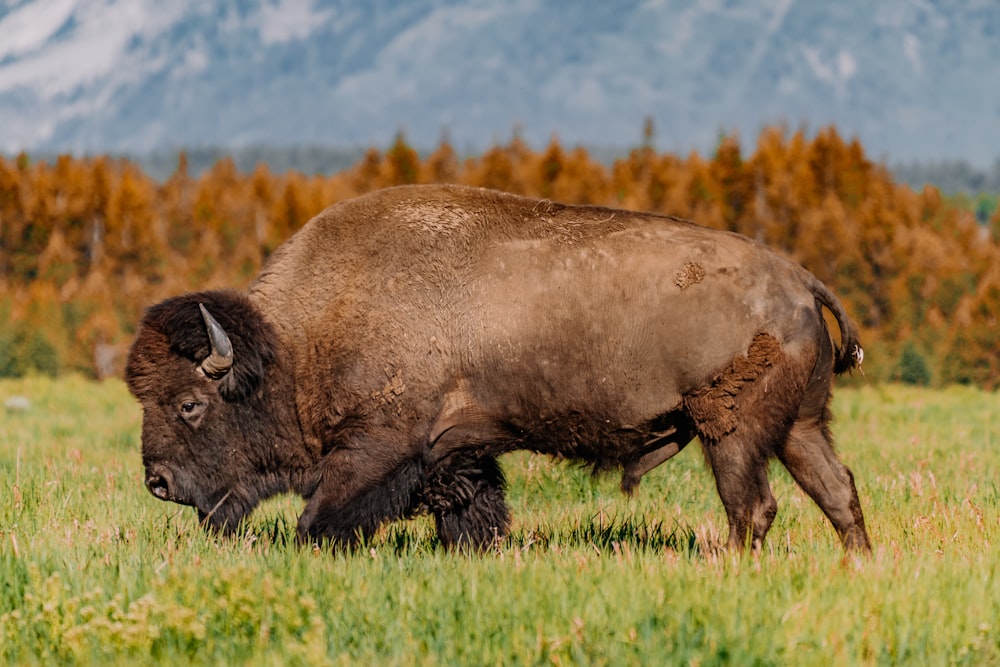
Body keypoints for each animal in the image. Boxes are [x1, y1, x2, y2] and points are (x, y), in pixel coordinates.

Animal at [125, 183, 872, 552]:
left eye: (190, 403)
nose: (157, 482)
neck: (297, 342)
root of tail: (797, 279)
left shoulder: (377, 448)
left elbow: (322, 516)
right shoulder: (460, 451)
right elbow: (471, 510)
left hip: (732, 433)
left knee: (753, 505)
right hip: (801, 427)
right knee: (836, 490)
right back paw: (858, 564)